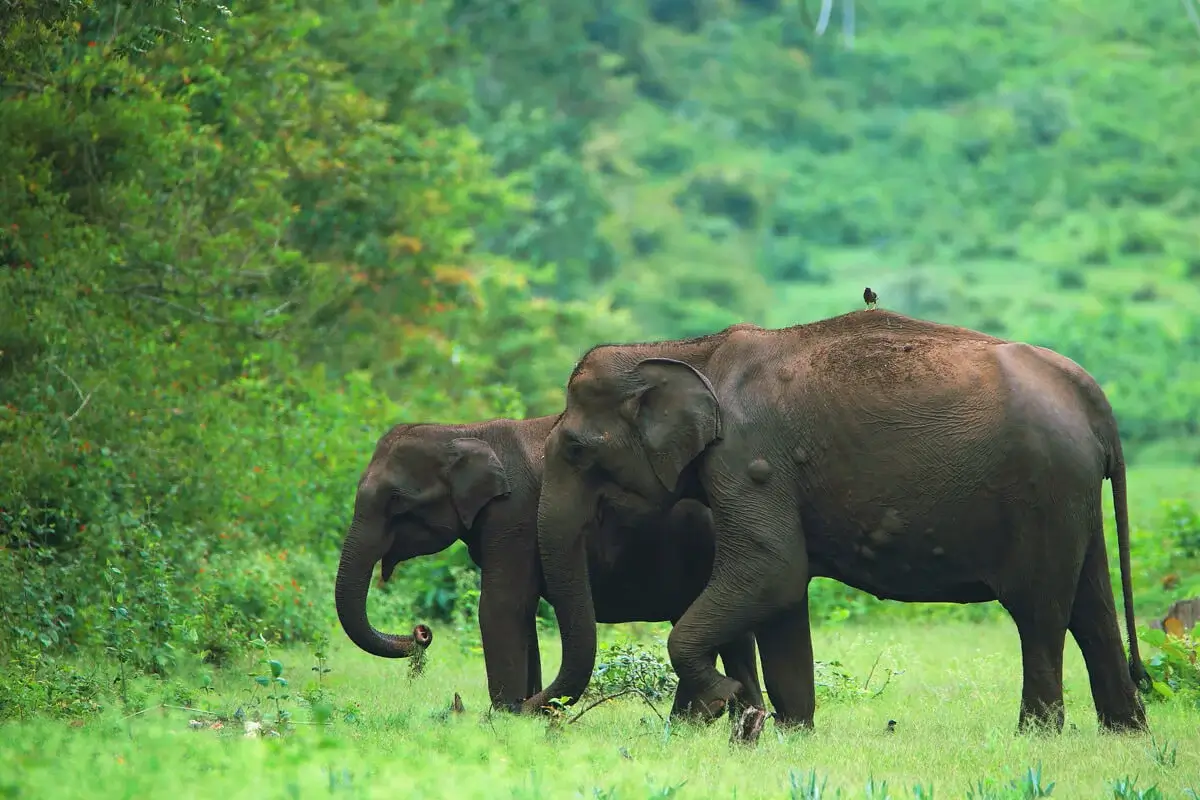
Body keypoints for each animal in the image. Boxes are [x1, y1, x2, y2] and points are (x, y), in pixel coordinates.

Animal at [333, 412, 763, 714]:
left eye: (395, 500)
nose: (420, 633)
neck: (464, 429)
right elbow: (522, 612)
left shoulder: (515, 515)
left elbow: (501, 606)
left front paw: (505, 717)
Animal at [525, 309, 1152, 734]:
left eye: (576, 448)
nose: (532, 711)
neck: (693, 351)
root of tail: (1091, 395)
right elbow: (781, 596)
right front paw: (788, 731)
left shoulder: (750, 460)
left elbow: (772, 571)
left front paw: (725, 701)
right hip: (1073, 497)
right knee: (1091, 607)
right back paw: (1125, 732)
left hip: (1043, 492)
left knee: (1039, 612)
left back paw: (1035, 737)